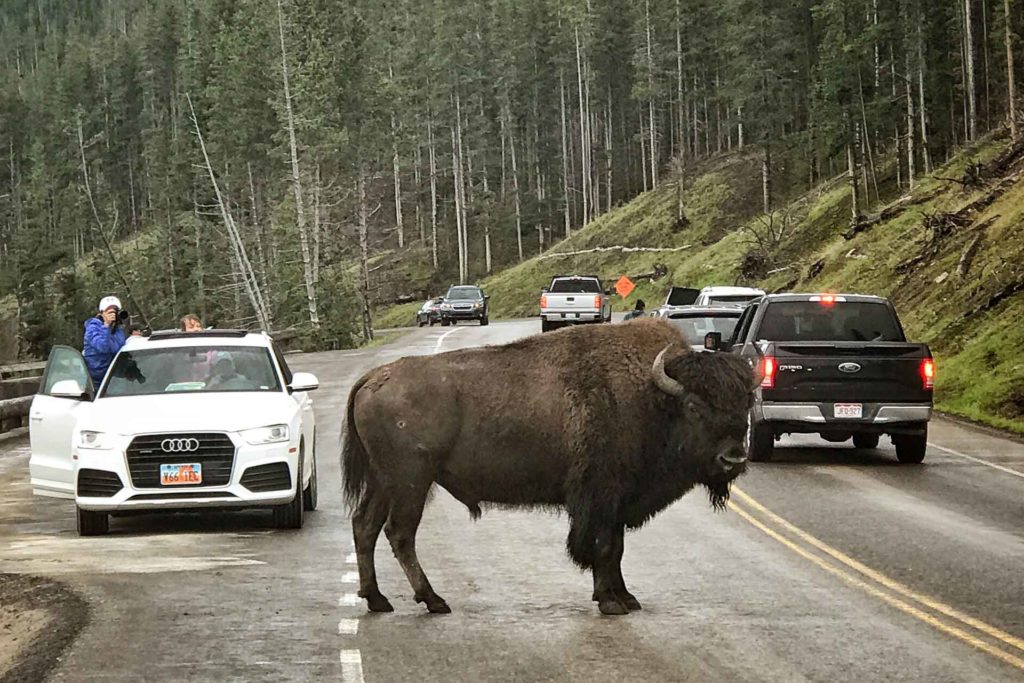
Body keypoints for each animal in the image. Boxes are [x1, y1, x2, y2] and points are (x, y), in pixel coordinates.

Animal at [344, 317, 761, 618]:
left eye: (745, 403)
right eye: (693, 406)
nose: (733, 458)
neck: (650, 396)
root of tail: (372, 377)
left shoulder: (617, 502)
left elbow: (617, 549)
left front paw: (626, 598)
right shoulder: (600, 497)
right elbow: (604, 547)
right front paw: (611, 602)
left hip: (383, 481)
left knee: (365, 526)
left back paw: (377, 599)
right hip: (411, 481)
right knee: (399, 534)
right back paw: (433, 600)